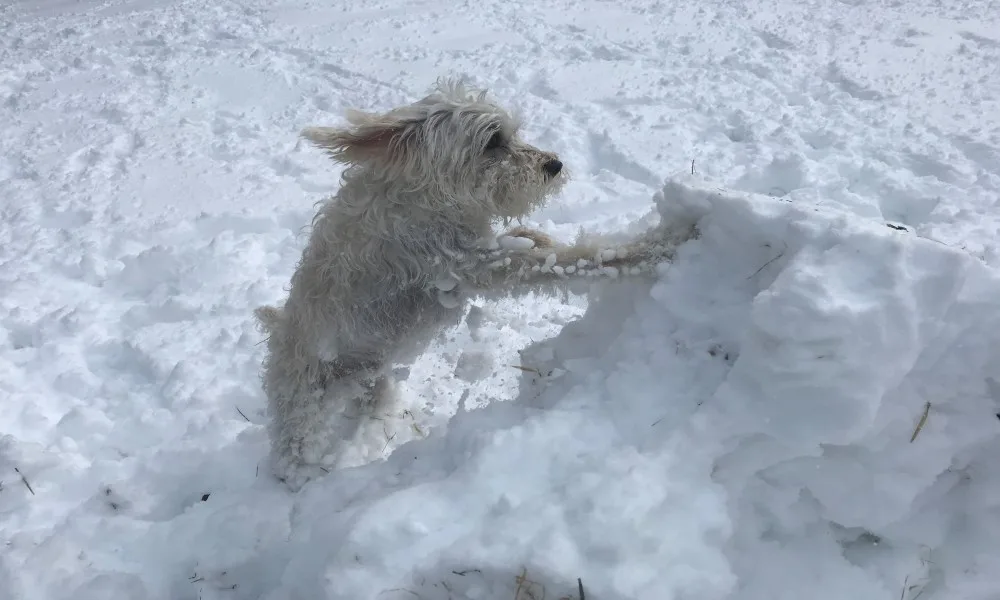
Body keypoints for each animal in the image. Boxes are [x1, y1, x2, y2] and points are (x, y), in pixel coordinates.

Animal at [254, 78, 672, 492]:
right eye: (492, 141)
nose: (555, 164)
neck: (427, 199)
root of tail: (277, 337)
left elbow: (529, 243)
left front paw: (536, 235)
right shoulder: (472, 266)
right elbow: (569, 261)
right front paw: (660, 244)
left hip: (371, 376)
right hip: (307, 404)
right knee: (296, 453)